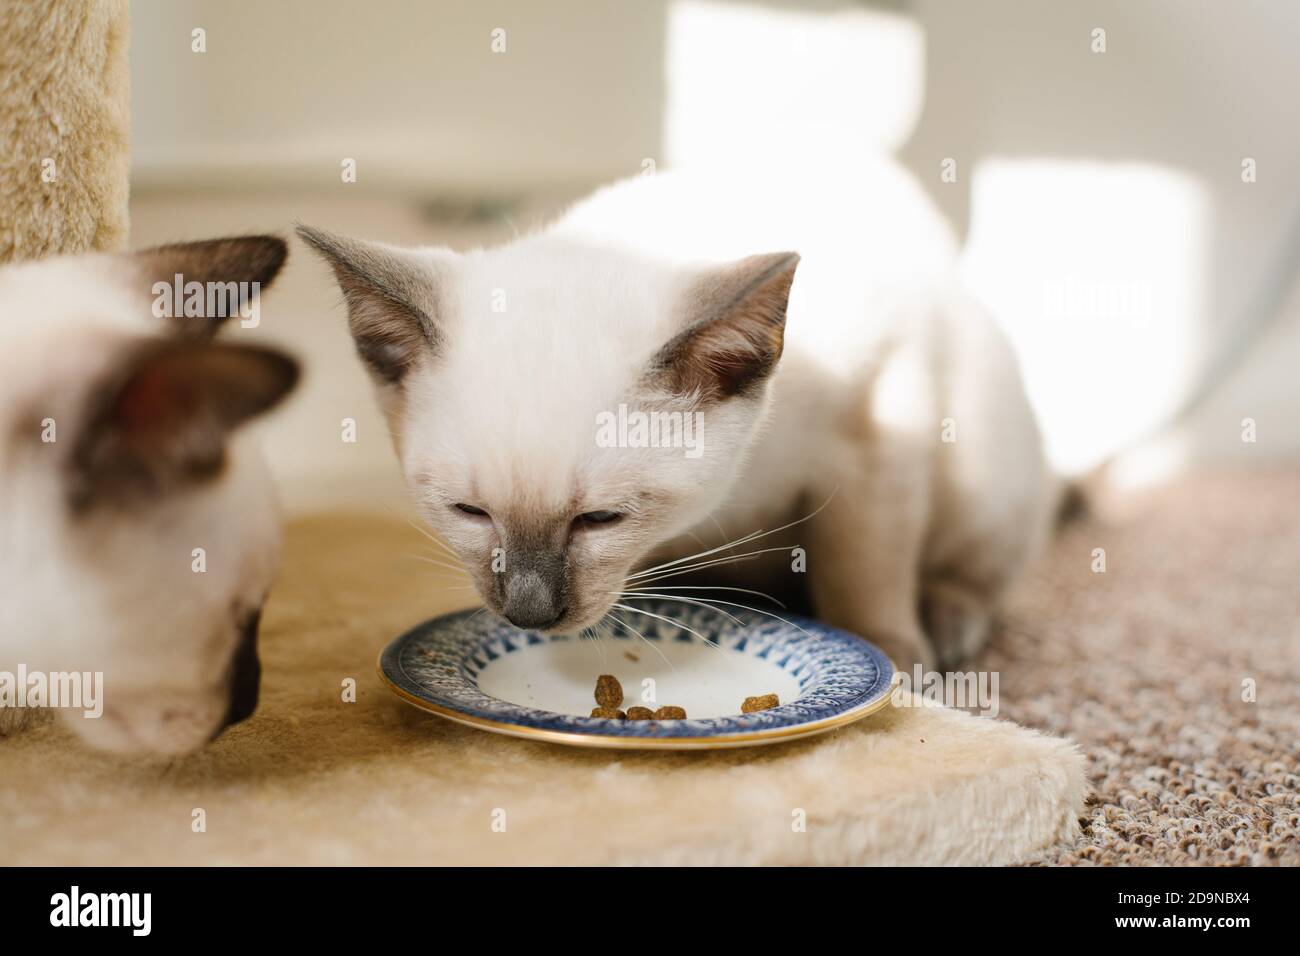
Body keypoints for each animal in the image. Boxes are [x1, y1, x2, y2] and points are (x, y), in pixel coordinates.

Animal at [301, 160, 1055, 671]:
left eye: (600, 520)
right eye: (469, 513)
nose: (529, 614)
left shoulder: (878, 429)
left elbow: (865, 570)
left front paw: (891, 658)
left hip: (986, 475)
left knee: (979, 571)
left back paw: (946, 627)